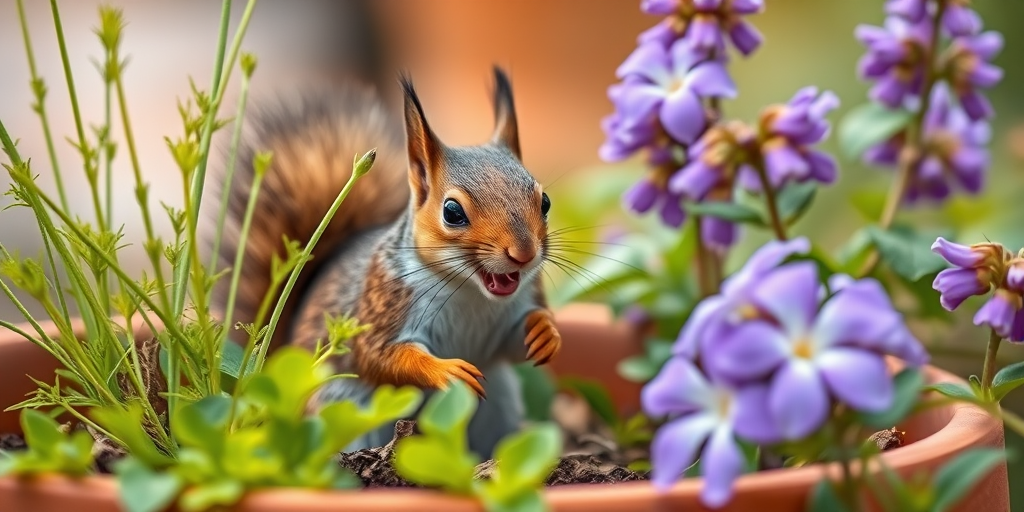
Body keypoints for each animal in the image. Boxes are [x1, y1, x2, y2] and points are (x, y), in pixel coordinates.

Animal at [210, 67, 562, 459]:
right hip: (343, 407)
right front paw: (443, 370)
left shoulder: (514, 308)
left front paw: (545, 331)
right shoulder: (383, 303)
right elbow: (379, 356)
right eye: (452, 212)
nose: (524, 253)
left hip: (497, 403)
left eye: (545, 202)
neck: (469, 292)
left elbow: (515, 344)